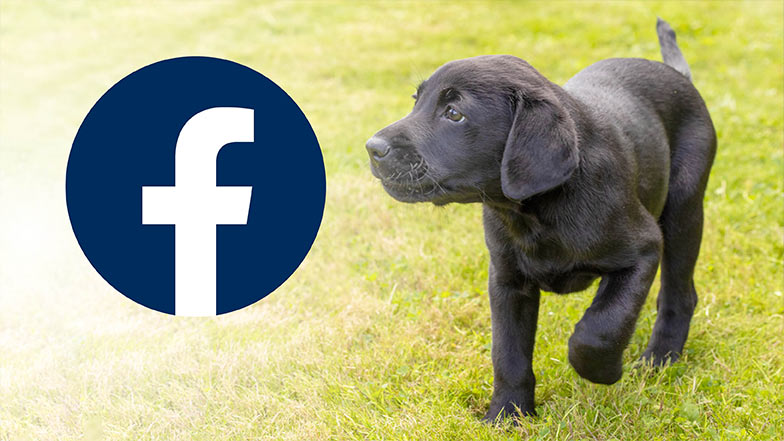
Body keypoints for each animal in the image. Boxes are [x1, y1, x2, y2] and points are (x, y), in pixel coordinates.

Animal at [368, 18, 716, 422]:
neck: (534, 213)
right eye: (416, 101)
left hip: (683, 211)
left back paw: (659, 359)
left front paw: (605, 371)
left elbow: (598, 330)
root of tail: (677, 76)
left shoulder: (644, 249)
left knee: (679, 294)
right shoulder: (506, 280)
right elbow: (508, 353)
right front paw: (507, 415)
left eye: (454, 113)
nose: (372, 148)